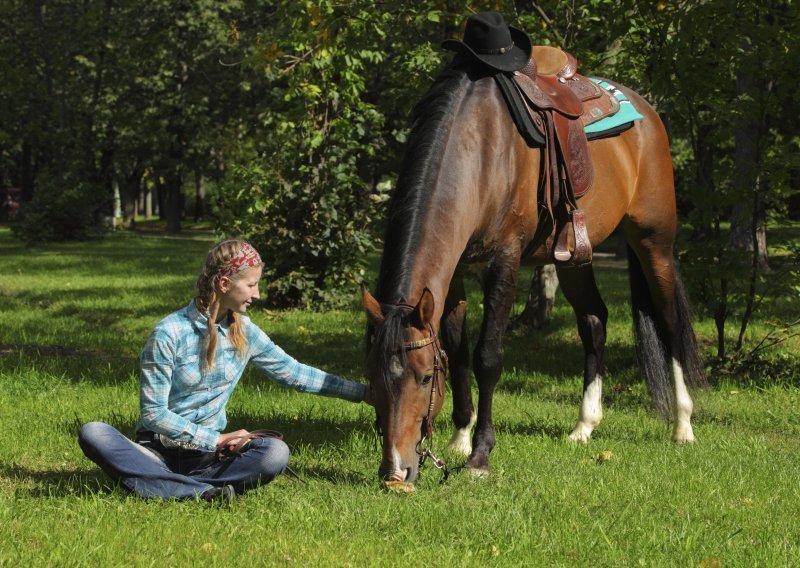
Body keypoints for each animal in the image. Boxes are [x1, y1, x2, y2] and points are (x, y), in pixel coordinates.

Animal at [362, 57, 708, 484]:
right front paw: (459, 437)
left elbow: (487, 357)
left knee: (670, 321)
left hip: (653, 240)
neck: (481, 151)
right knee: (594, 321)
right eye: (372, 375)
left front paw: (479, 456)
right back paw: (584, 426)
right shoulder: (455, 273)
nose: (396, 469)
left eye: (425, 377)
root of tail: (645, 110)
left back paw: (683, 425)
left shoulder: (504, 261)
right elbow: (457, 352)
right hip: (576, 255)